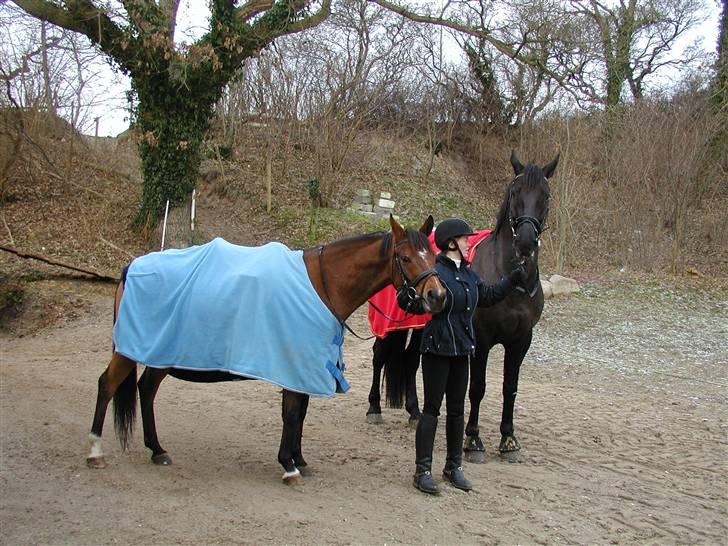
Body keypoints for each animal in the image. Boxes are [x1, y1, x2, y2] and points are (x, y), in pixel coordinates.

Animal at [85, 215, 446, 484]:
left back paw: (157, 449)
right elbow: (291, 413)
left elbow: (300, 413)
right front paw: (288, 465)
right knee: (107, 385)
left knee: (145, 389)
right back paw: (95, 451)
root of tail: (132, 266)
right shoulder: (293, 365)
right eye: (405, 258)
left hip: (159, 353)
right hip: (131, 350)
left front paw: (299, 459)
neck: (322, 284)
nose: (437, 296)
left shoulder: (305, 368)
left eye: (432, 256)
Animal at [464, 150, 559, 463]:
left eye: (546, 195)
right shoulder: (481, 340)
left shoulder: (521, 340)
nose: (527, 241)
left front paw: (508, 439)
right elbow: (478, 388)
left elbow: (510, 388)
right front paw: (473, 440)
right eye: (515, 192)